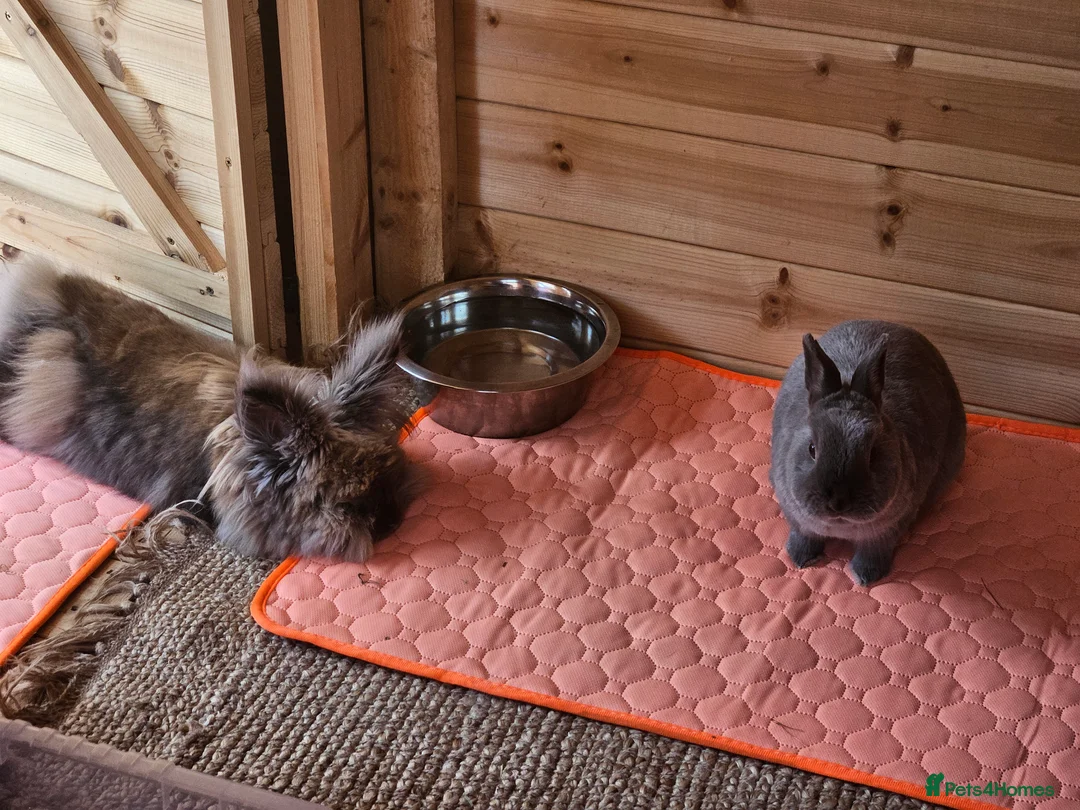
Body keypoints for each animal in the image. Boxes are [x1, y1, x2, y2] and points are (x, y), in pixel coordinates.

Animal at [770, 320, 966, 586]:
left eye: (873, 453)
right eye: (812, 449)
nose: (838, 502)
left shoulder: (887, 531)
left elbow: (872, 551)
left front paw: (866, 576)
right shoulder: (797, 519)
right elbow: (804, 536)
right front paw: (801, 559)